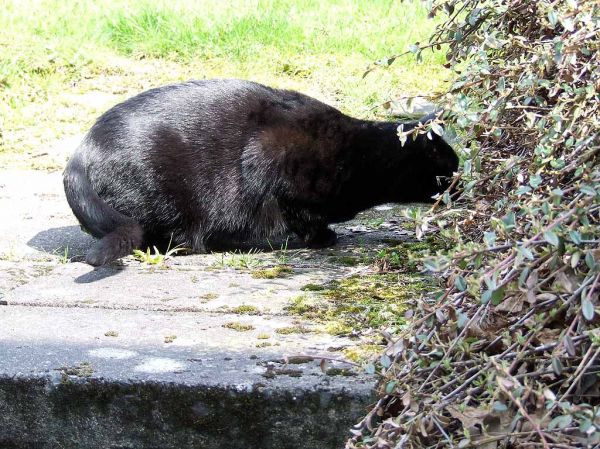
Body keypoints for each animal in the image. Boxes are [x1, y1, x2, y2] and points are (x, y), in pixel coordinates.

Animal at [63, 78, 458, 264]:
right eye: (448, 170)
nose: (462, 184)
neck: (359, 155)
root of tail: (79, 156)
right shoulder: (269, 157)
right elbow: (301, 215)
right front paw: (320, 237)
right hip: (169, 199)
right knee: (175, 235)